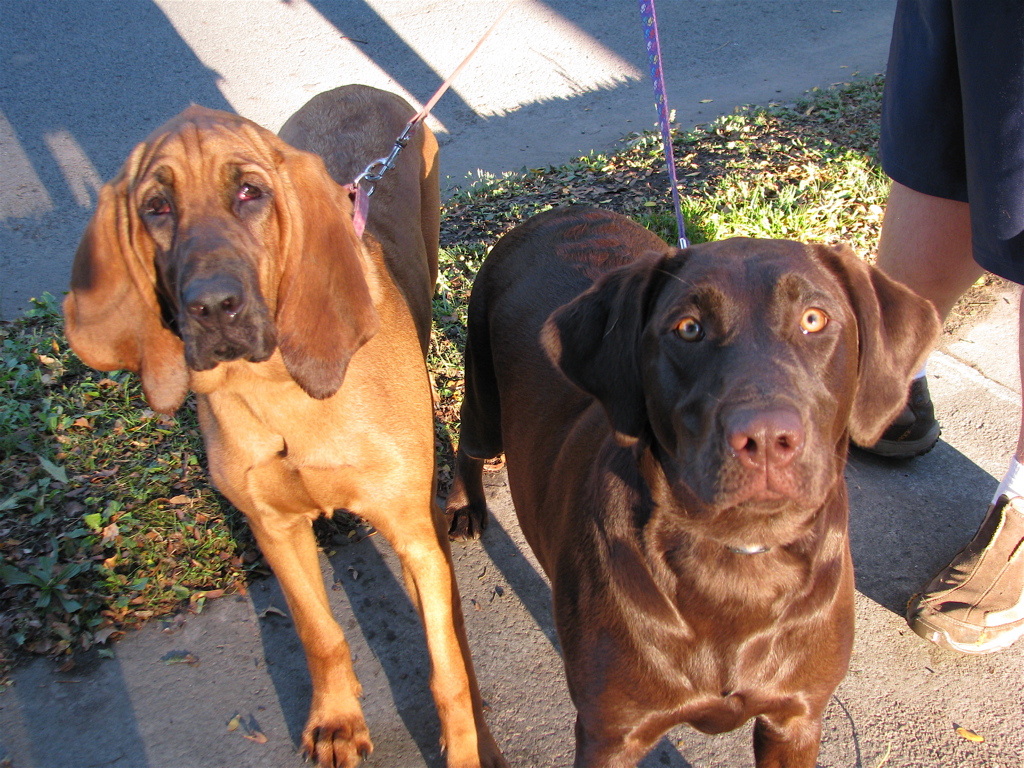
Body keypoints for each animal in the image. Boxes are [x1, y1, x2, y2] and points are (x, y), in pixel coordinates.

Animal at [62, 83, 503, 768]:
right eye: (156, 207)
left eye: (251, 192)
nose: (213, 307)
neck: (285, 396)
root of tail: (357, 87)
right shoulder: (274, 529)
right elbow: (319, 633)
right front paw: (337, 721)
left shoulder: (416, 535)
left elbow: (449, 667)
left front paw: (469, 746)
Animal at [444, 205, 937, 768]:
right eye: (689, 328)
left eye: (815, 319)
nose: (765, 438)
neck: (737, 564)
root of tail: (561, 210)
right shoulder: (610, 733)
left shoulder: (795, 719)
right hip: (484, 391)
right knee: (468, 439)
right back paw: (463, 505)